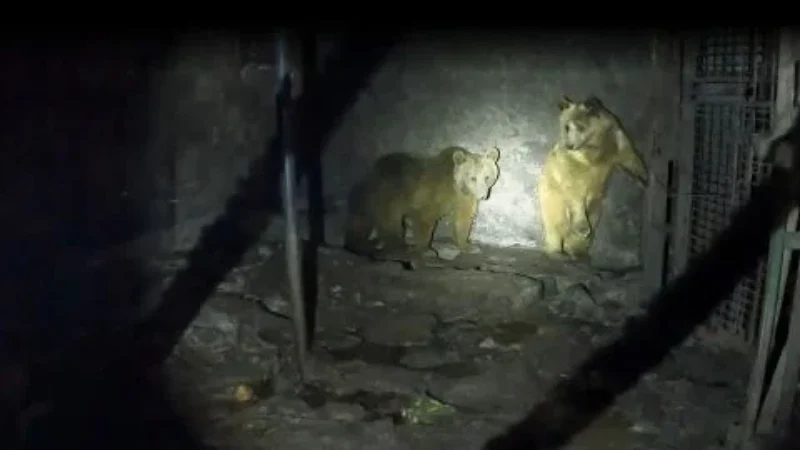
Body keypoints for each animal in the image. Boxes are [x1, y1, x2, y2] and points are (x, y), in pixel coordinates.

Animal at [344, 146, 501, 256]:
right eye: (473, 177)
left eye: (487, 177)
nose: (482, 196)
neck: (457, 187)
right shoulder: (431, 196)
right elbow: (426, 220)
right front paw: (426, 249)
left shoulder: (463, 199)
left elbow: (462, 220)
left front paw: (468, 246)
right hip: (390, 194)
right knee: (389, 220)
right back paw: (396, 244)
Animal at [538, 95, 649, 259]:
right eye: (566, 126)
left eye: (579, 126)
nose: (569, 145)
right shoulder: (571, 166)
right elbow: (574, 189)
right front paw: (582, 226)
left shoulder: (615, 139)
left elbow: (630, 157)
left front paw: (642, 178)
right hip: (551, 195)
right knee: (556, 221)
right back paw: (558, 248)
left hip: (596, 205)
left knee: (590, 222)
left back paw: (577, 249)